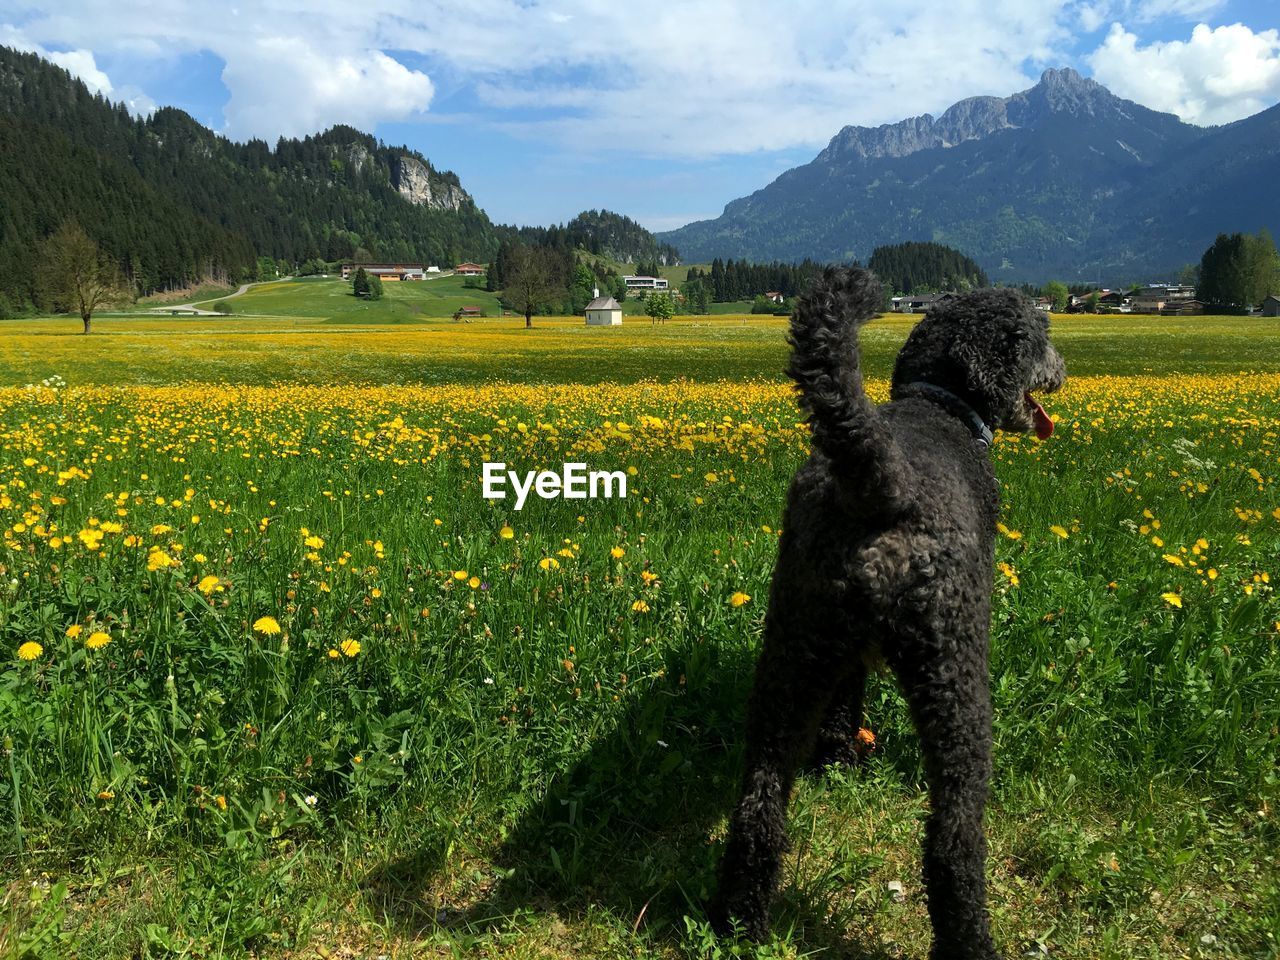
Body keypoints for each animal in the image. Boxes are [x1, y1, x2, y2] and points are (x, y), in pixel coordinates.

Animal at [716, 268, 1064, 960]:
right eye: (1037, 335)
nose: (1061, 369)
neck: (941, 405)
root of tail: (880, 484)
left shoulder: (836, 655)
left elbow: (843, 705)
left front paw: (838, 761)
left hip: (791, 652)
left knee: (760, 802)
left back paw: (741, 921)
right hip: (955, 678)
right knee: (953, 840)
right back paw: (971, 942)